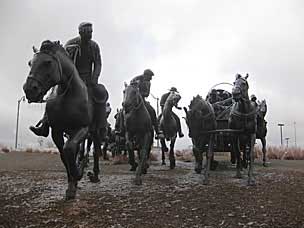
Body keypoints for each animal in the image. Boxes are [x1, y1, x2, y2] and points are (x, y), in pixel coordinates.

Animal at [22, 41, 108, 200]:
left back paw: (94, 175)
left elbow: (69, 150)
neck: (68, 95)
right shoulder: (57, 131)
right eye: (30, 63)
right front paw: (71, 184)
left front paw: (78, 174)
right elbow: (64, 155)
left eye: (48, 62)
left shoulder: (82, 128)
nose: (29, 90)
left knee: (95, 151)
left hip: (94, 132)